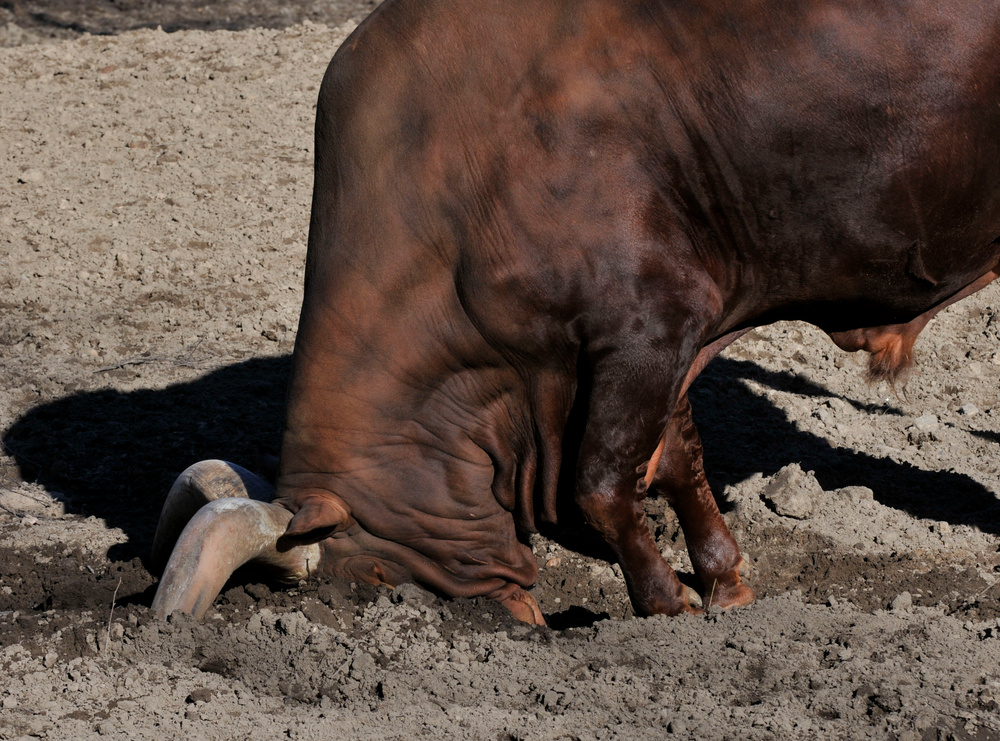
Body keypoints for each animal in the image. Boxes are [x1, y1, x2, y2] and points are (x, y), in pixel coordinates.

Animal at [148, 0, 1000, 624]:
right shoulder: (662, 334)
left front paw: (665, 599)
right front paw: (723, 580)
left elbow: (601, 482)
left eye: (381, 577)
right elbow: (675, 459)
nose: (498, 622)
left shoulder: (645, 331)